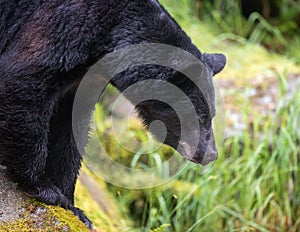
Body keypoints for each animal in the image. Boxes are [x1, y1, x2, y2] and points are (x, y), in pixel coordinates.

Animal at [0, 0, 225, 228]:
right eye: (199, 117)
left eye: (212, 115)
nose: (212, 154)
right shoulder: (61, 28)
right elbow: (24, 80)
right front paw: (43, 187)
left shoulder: (82, 79)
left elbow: (70, 127)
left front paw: (73, 206)